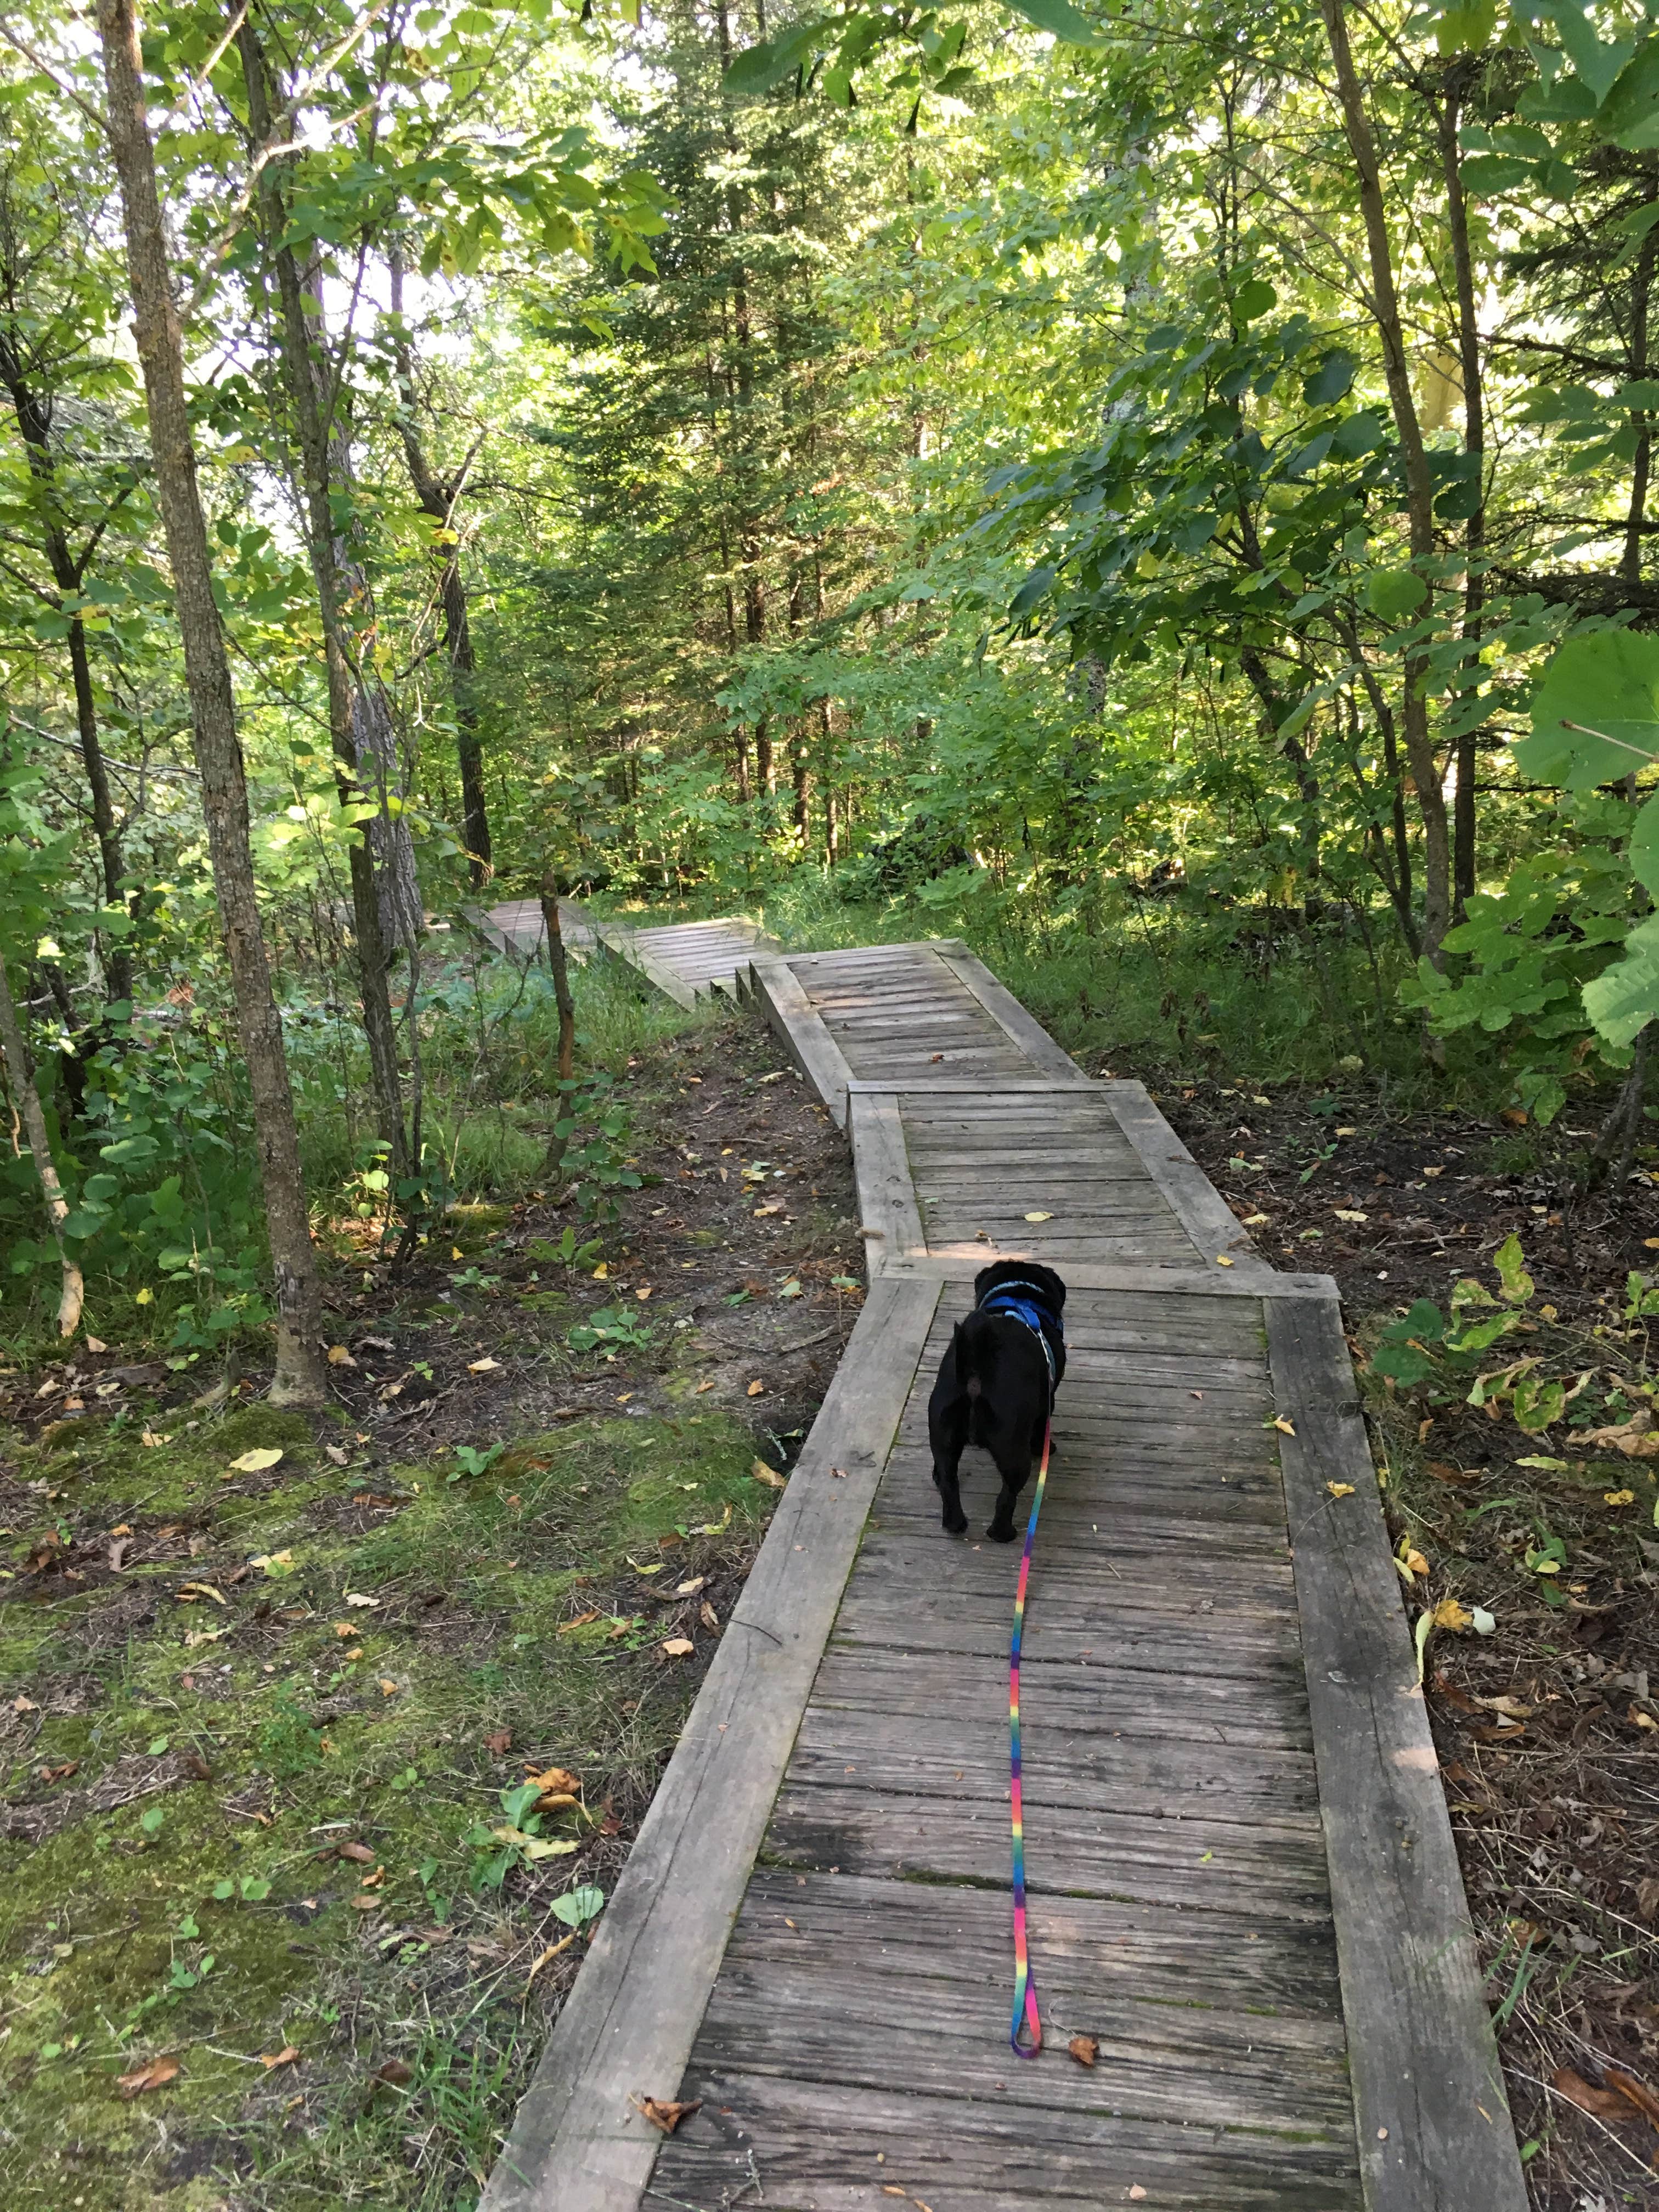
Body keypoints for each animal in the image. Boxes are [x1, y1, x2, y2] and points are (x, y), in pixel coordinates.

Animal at [929, 1265, 1070, 1539]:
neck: (1016, 1296)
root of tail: (976, 1367)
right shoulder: (1047, 1402)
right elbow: (1042, 1430)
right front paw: (1046, 1448)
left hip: (943, 1436)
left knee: (949, 1483)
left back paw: (954, 1523)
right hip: (1014, 1454)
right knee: (1007, 1497)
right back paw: (1002, 1533)